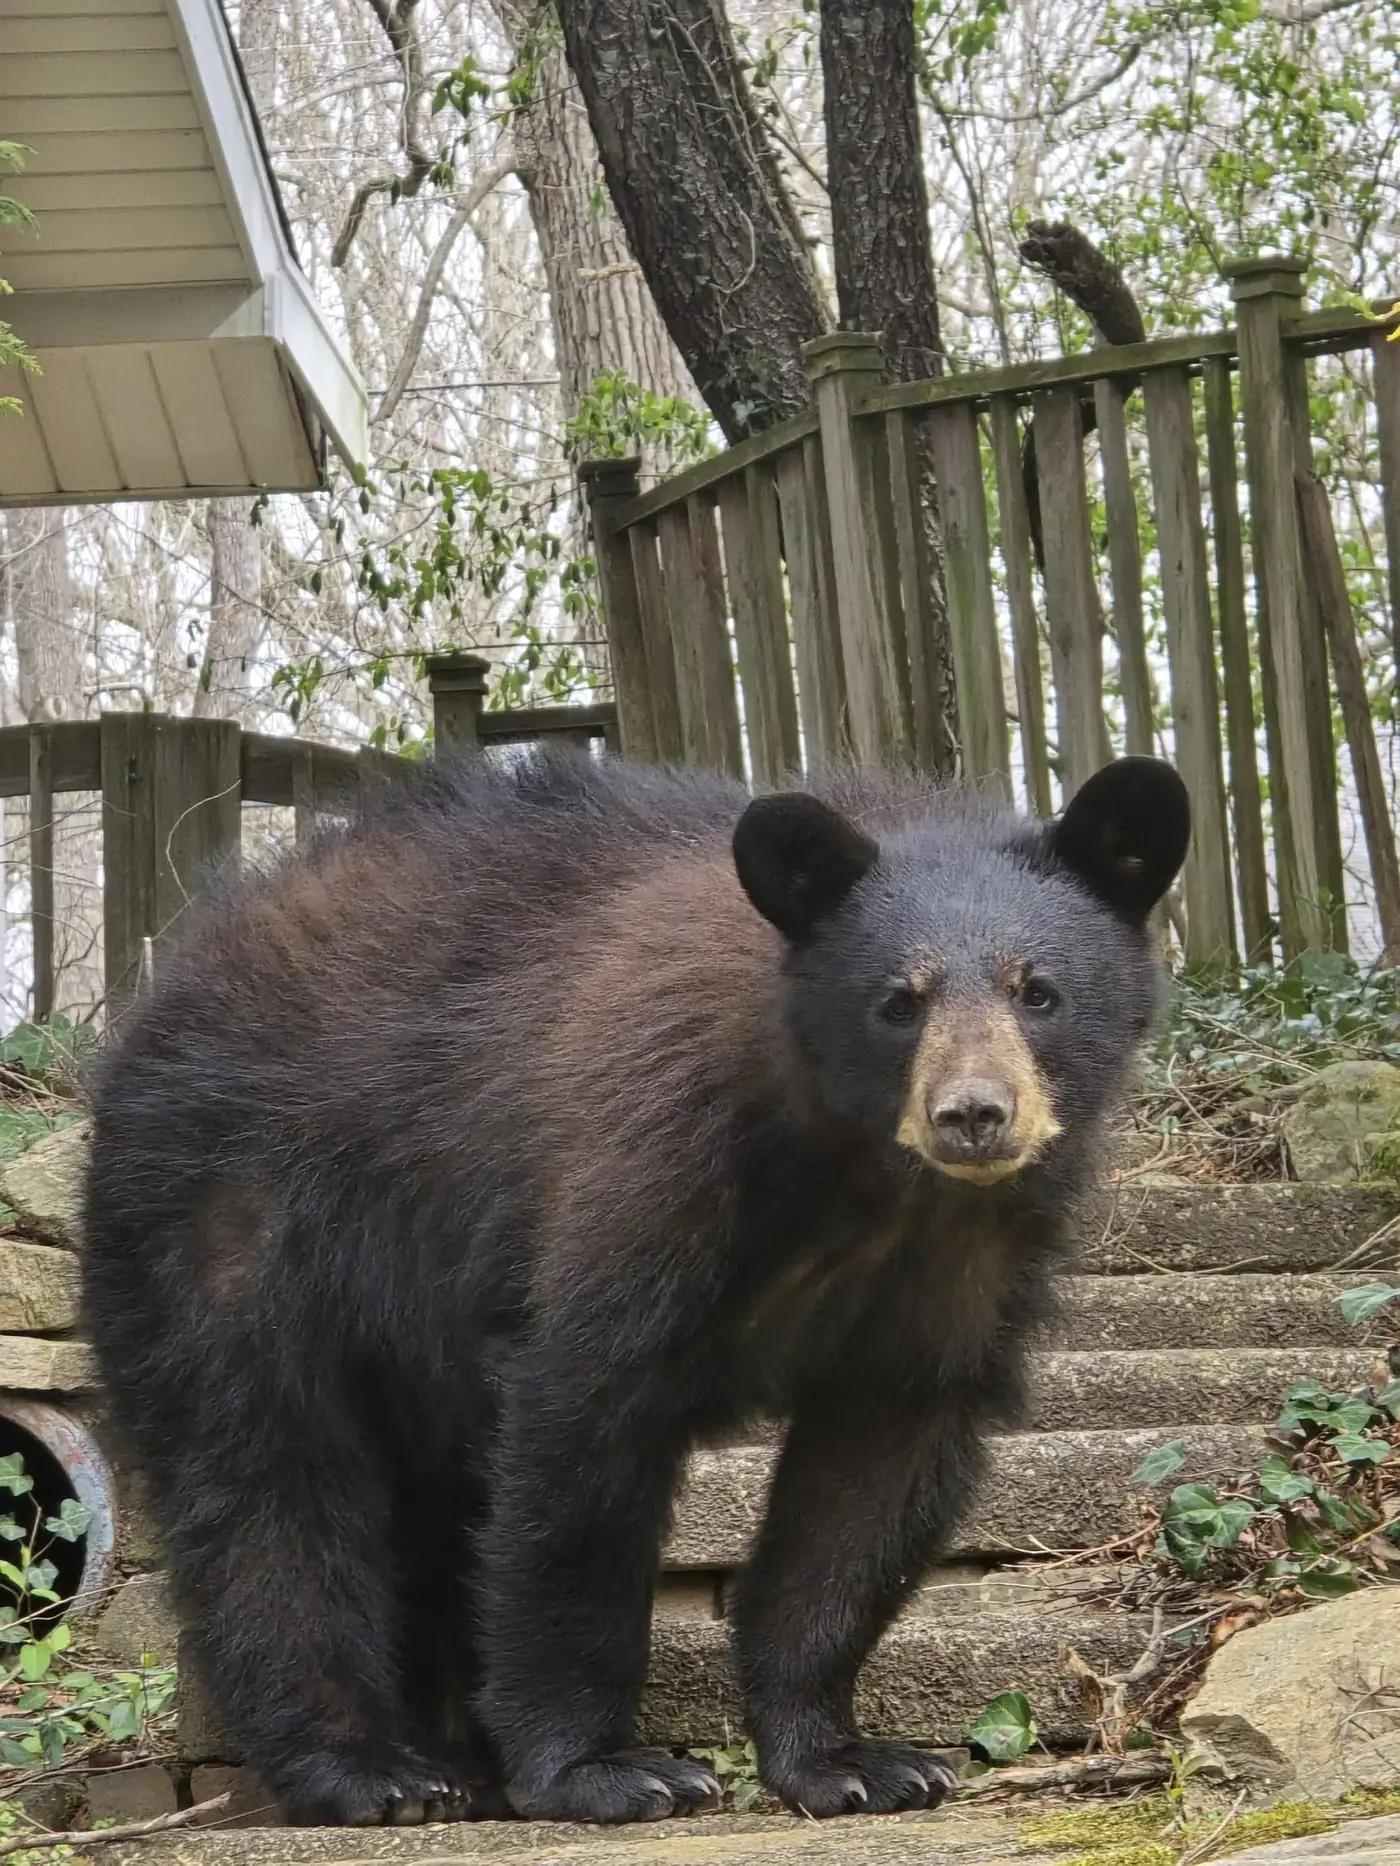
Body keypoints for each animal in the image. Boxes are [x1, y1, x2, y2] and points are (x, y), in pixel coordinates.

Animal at [81, 746, 1189, 1829]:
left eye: (1037, 990)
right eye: (897, 1002)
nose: (972, 1115)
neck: (852, 1170)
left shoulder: (956, 1266)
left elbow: (873, 1479)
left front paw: (849, 1760)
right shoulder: (651, 1154)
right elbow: (583, 1431)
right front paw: (604, 1771)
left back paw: (460, 1755)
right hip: (230, 1209)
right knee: (269, 1470)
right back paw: (370, 1768)